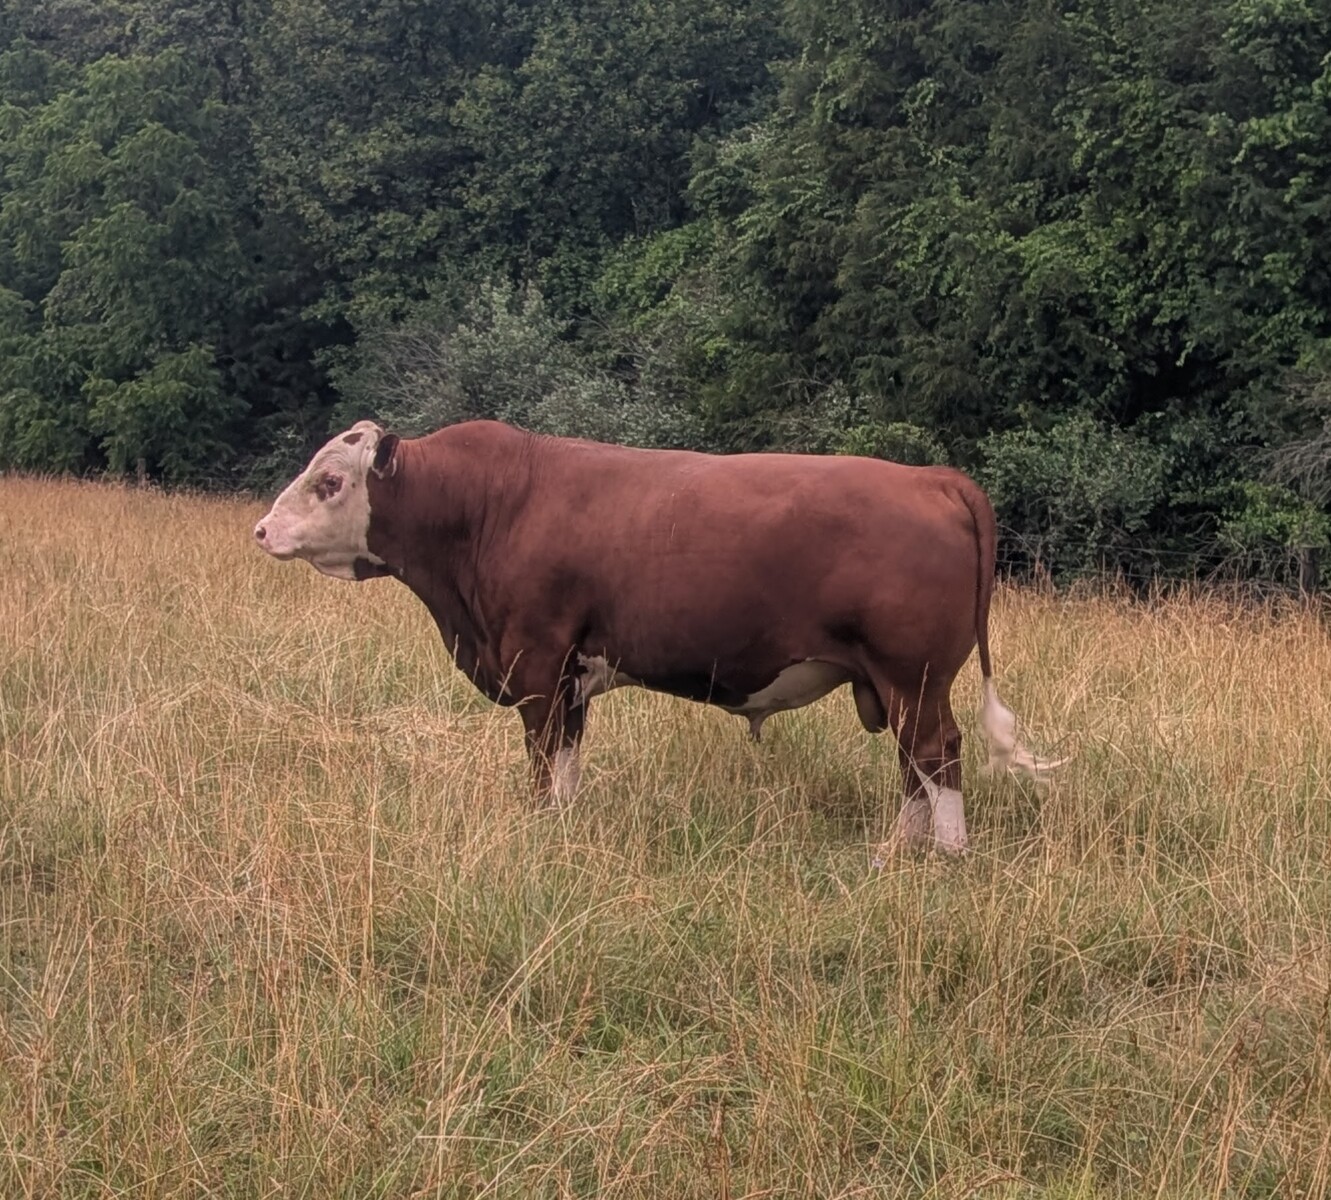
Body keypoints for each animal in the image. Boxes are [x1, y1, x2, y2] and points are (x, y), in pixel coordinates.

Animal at [254, 419, 1062, 856]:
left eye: (330, 481)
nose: (262, 530)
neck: (482, 506)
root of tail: (932, 477)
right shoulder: (572, 675)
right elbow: (567, 760)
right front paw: (563, 827)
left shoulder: (536, 661)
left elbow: (542, 760)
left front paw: (539, 827)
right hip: (895, 682)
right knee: (913, 761)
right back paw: (895, 851)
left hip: (913, 673)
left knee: (936, 753)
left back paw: (945, 855)